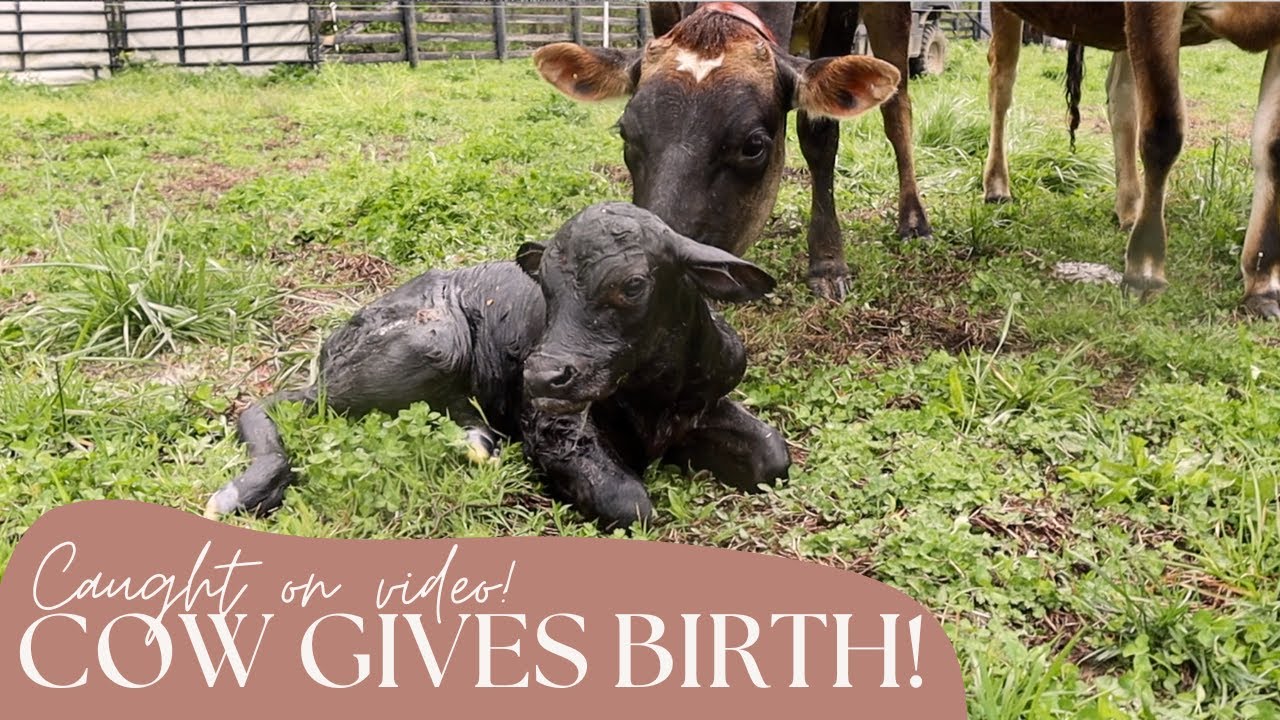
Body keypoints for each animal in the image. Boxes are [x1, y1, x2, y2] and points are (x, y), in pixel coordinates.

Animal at [204, 202, 789, 529]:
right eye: (546, 288)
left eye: (633, 284)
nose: (542, 373)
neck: (652, 393)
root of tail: (329, 350)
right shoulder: (551, 428)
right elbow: (631, 504)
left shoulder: (707, 400)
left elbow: (773, 456)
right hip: (430, 342)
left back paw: (478, 441)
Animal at [533, 2, 930, 300]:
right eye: (626, 133)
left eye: (753, 145)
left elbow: (819, 131)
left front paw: (828, 262)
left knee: (897, 109)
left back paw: (913, 220)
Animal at [982, 3, 1280, 317]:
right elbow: (1163, 132)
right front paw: (1145, 270)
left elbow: (1271, 148)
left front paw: (1262, 282)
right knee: (1001, 80)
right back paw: (997, 187)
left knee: (1121, 97)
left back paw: (1129, 208)